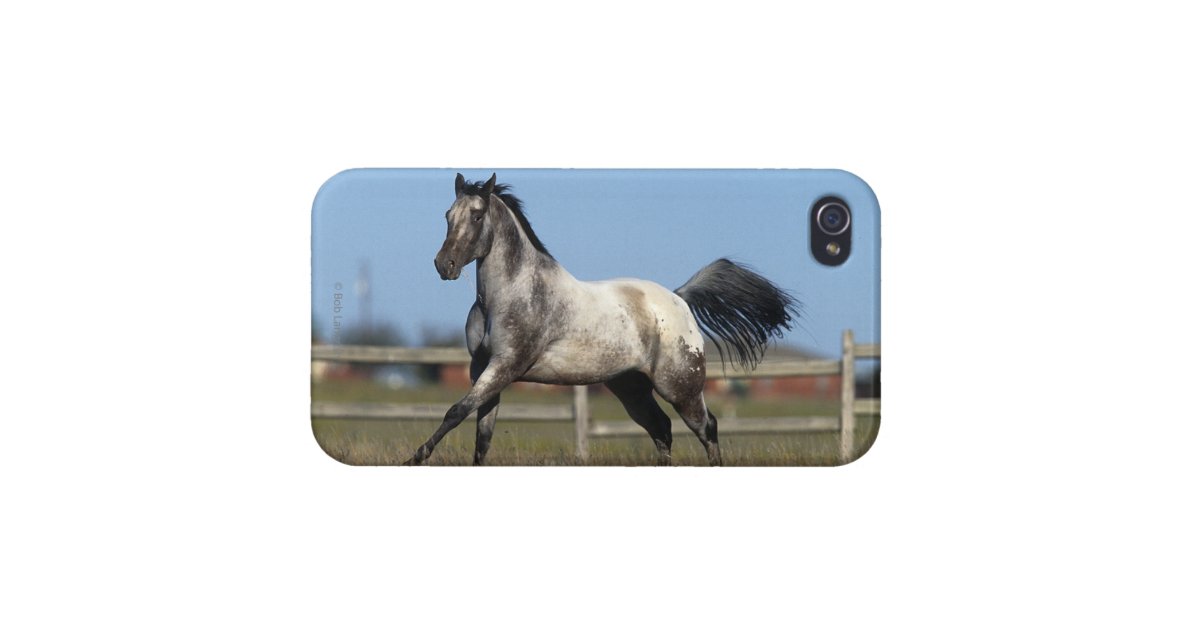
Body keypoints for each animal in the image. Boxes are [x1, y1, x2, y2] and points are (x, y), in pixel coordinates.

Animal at [407, 173, 799, 465]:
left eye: (476, 216)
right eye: (447, 215)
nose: (444, 265)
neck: (509, 295)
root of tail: (679, 298)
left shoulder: (506, 365)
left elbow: (456, 411)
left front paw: (415, 457)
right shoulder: (482, 368)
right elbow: (482, 435)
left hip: (680, 387)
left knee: (707, 428)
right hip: (630, 388)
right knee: (661, 429)